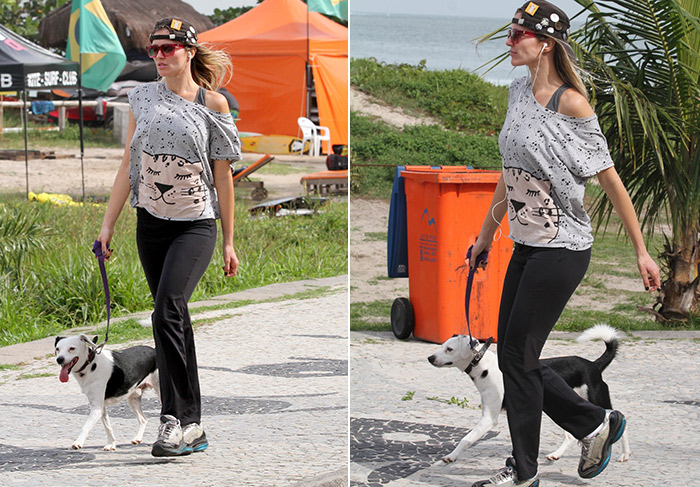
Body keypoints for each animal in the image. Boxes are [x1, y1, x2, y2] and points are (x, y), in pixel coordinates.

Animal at [424, 326, 632, 464]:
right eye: (442, 346)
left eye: (449, 349)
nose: (430, 358)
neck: (484, 366)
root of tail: (593, 365)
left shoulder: (488, 419)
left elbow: (466, 438)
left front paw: (451, 456)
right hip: (566, 407)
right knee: (572, 435)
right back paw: (557, 454)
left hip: (595, 400)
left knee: (618, 418)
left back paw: (624, 454)